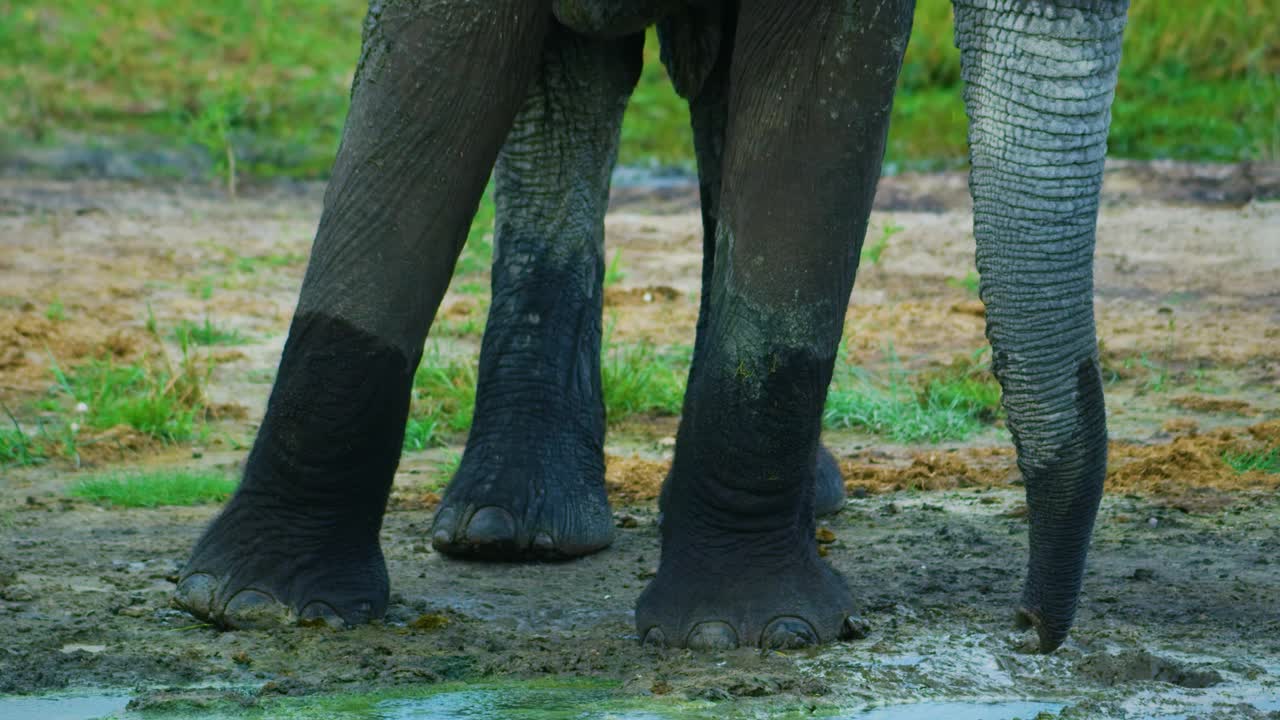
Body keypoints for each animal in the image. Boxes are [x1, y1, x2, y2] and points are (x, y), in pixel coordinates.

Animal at [172, 0, 1131, 650]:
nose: (1028, 626)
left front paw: (746, 634)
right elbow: (426, 91)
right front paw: (251, 606)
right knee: (571, 89)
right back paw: (508, 533)